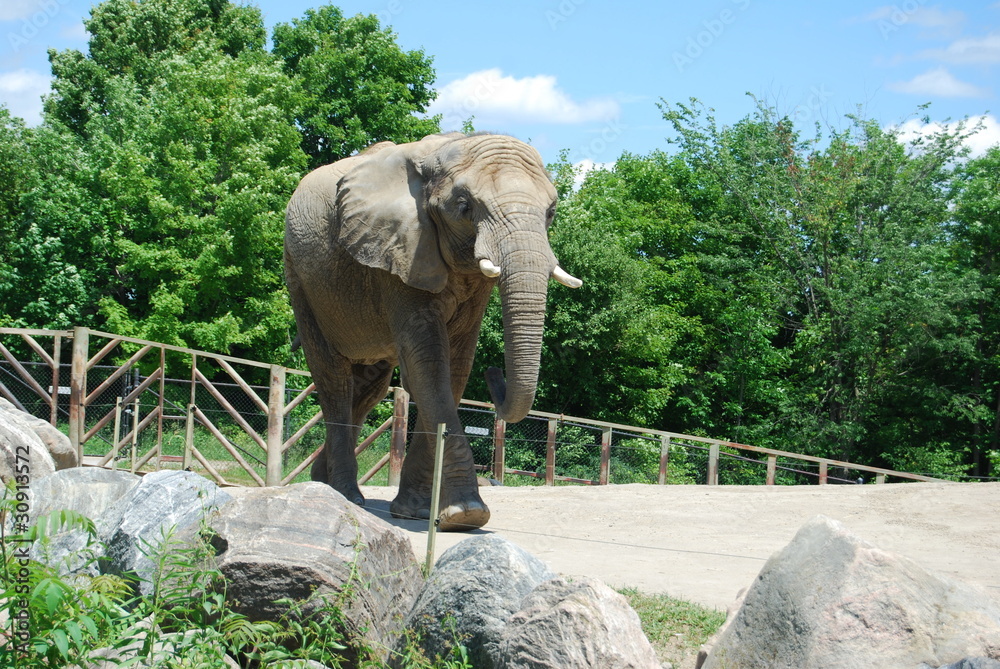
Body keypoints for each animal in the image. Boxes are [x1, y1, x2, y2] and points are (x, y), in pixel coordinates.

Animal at [284, 132, 582, 531]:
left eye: (551, 212)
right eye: (464, 206)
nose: (494, 373)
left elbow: (454, 365)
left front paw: (419, 512)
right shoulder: (400, 251)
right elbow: (428, 361)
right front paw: (467, 514)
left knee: (369, 389)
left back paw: (321, 483)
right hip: (301, 279)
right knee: (334, 380)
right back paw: (346, 496)